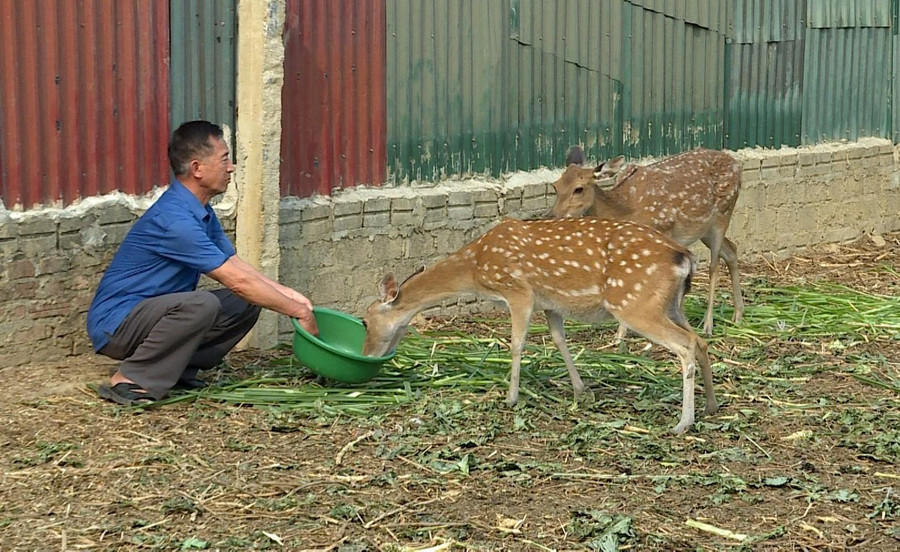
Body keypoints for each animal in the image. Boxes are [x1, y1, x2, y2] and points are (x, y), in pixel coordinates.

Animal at [362, 217, 720, 436]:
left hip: (636, 303)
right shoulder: (551, 303)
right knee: (701, 341)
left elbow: (516, 343)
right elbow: (559, 340)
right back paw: (711, 406)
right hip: (671, 304)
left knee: (686, 345)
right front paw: (581, 390)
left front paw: (510, 398)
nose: (367, 355)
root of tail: (685, 257)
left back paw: (683, 422)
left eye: (365, 320)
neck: (477, 268)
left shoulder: (518, 291)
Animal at [548, 147, 744, 334]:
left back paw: (708, 325)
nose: (552, 216)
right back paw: (738, 314)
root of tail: (737, 164)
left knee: (714, 266)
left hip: (722, 215)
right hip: (704, 230)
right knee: (732, 250)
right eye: (555, 186)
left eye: (578, 189)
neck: (625, 209)